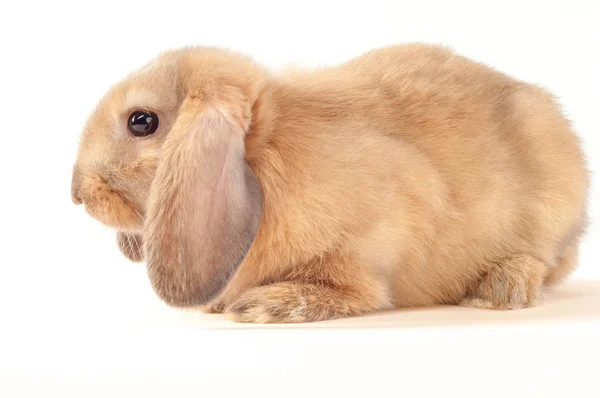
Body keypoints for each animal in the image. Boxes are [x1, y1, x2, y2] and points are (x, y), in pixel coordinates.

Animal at [72, 43, 588, 324]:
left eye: (142, 121)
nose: (77, 193)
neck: (267, 155)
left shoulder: (376, 234)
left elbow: (357, 290)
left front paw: (266, 305)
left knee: (541, 263)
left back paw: (497, 288)